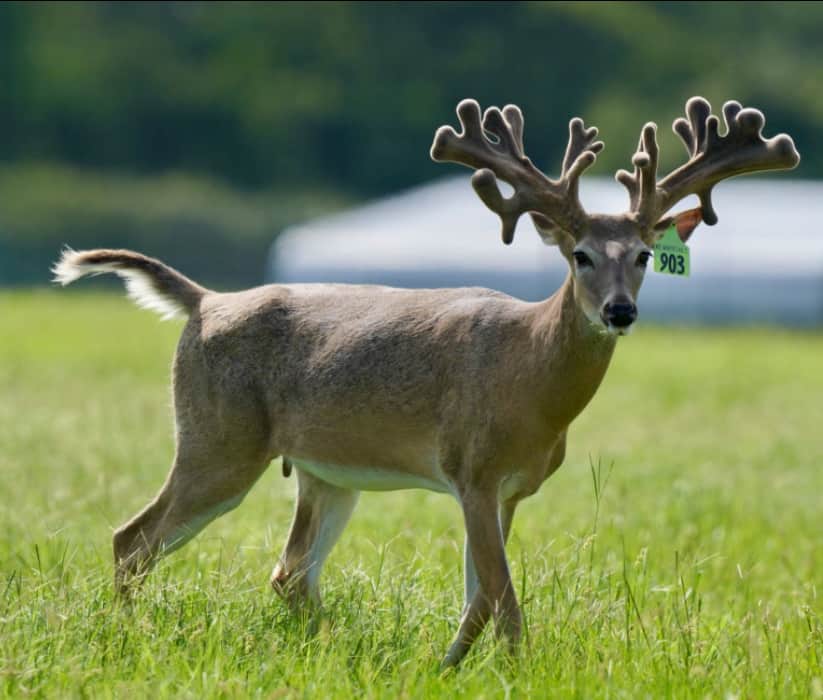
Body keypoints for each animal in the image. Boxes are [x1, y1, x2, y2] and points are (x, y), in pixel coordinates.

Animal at [52, 96, 798, 668]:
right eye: (580, 255)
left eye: (644, 255)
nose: (619, 311)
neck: (530, 379)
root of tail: (205, 300)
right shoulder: (471, 467)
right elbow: (503, 597)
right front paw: (515, 671)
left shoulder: (511, 488)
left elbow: (480, 596)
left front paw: (449, 668)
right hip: (219, 439)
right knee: (133, 540)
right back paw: (126, 638)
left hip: (324, 472)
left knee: (289, 573)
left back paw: (336, 650)